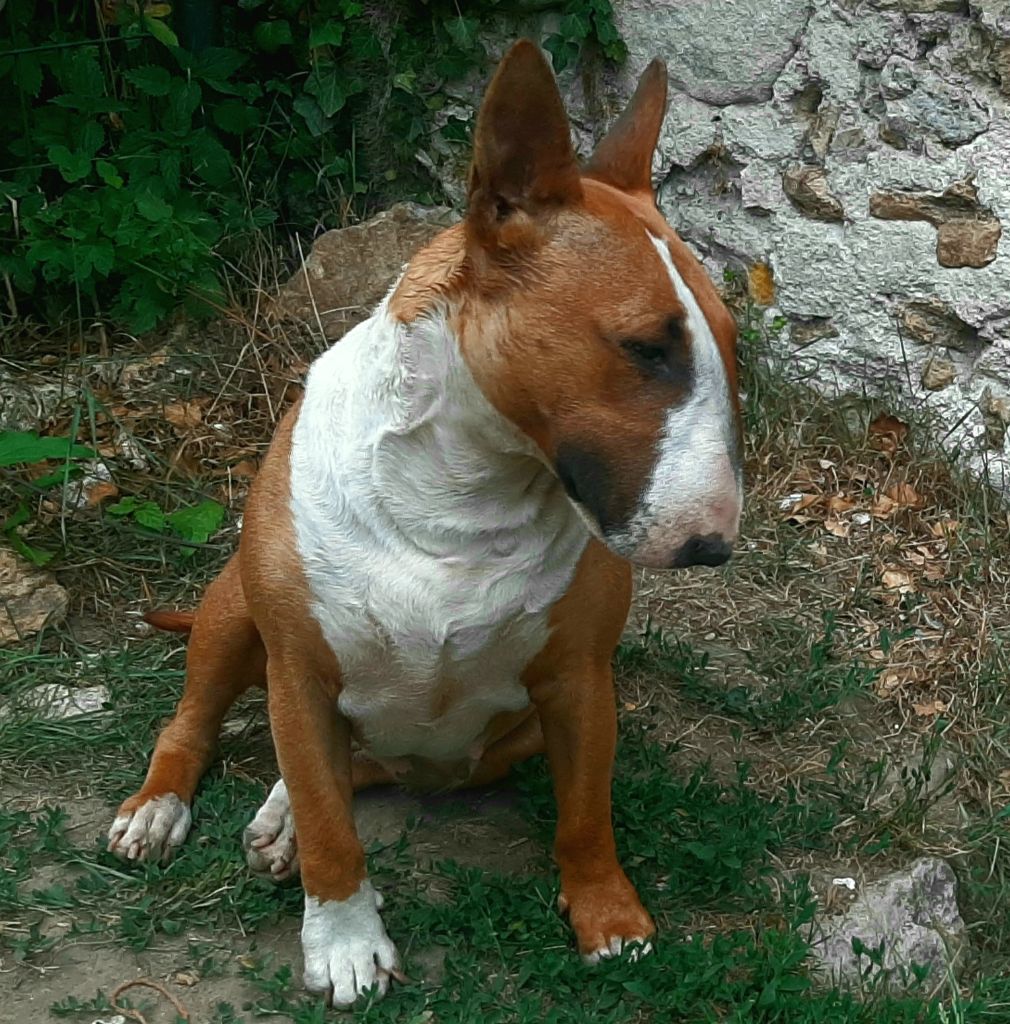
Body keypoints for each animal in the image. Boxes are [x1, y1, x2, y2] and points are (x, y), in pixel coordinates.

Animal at [108, 39, 741, 1007]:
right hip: (231, 611)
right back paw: (160, 811)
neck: (463, 493)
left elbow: (585, 814)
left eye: (734, 344)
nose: (714, 545)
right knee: (200, 726)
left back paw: (279, 822)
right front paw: (344, 944)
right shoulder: (298, 671)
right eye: (644, 347)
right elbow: (332, 828)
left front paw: (609, 918)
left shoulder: (580, 679)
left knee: (349, 768)